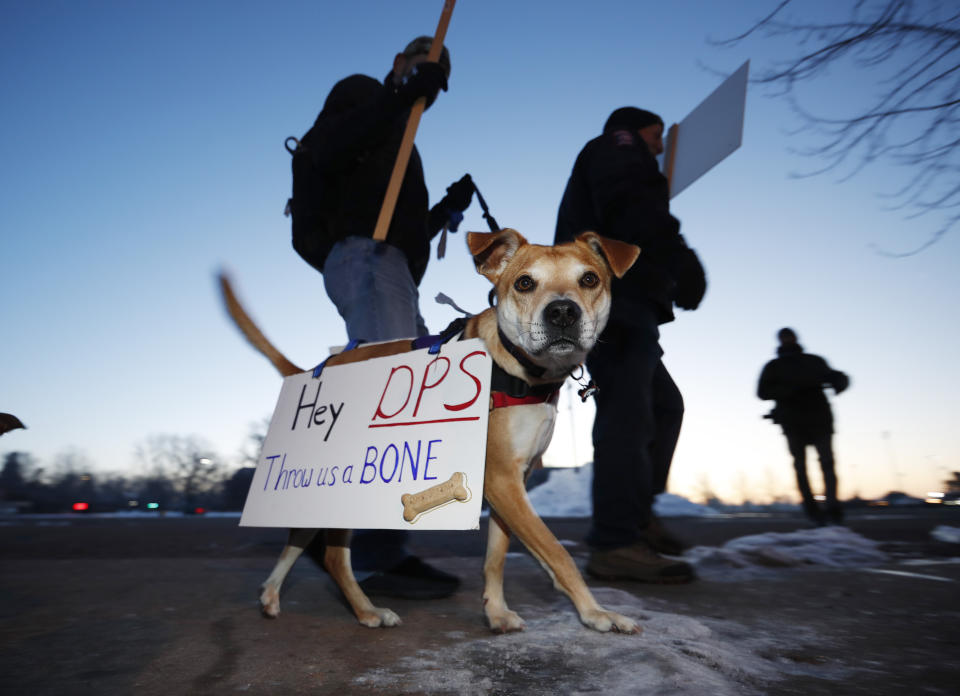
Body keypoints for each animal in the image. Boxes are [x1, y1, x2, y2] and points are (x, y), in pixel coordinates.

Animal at [221, 230, 640, 636]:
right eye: (524, 282)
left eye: (589, 279)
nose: (562, 311)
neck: (521, 371)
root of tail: (319, 368)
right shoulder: (502, 480)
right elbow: (557, 553)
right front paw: (596, 613)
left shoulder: (510, 482)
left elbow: (496, 557)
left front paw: (496, 612)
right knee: (334, 557)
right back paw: (368, 612)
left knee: (297, 538)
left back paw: (271, 594)